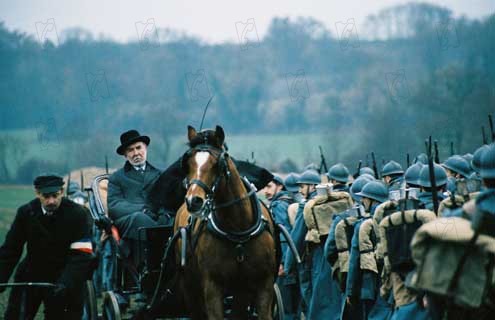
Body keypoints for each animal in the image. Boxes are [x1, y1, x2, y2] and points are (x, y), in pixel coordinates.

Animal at [173, 125, 280, 320]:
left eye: (217, 164)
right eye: (187, 163)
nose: (193, 201)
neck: (238, 232)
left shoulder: (262, 286)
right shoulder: (212, 288)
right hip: (190, 287)